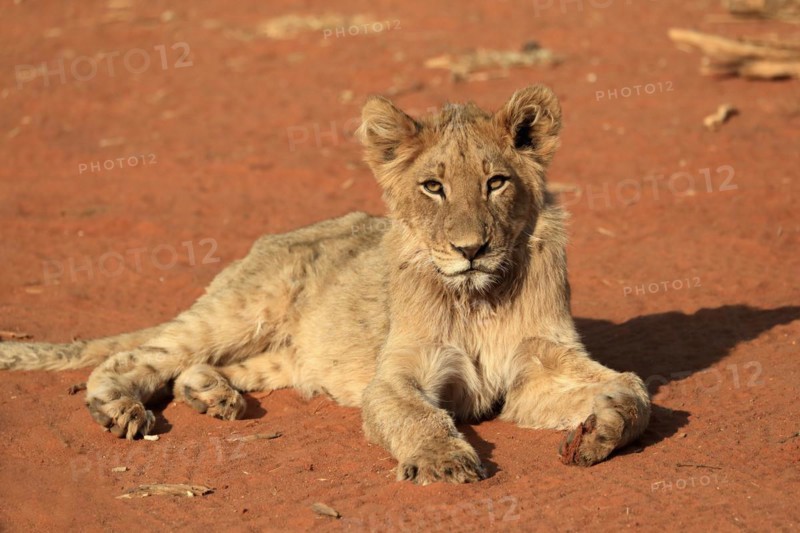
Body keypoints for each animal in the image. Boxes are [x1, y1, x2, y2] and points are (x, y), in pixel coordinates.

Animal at [0, 85, 650, 484]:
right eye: (433, 187)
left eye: (496, 182)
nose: (471, 250)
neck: (480, 297)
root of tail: (261, 243)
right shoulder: (396, 377)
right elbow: (419, 418)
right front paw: (443, 462)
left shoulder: (535, 374)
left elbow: (634, 391)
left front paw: (598, 431)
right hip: (241, 311)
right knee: (139, 356)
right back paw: (120, 410)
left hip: (279, 358)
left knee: (195, 369)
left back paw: (213, 397)